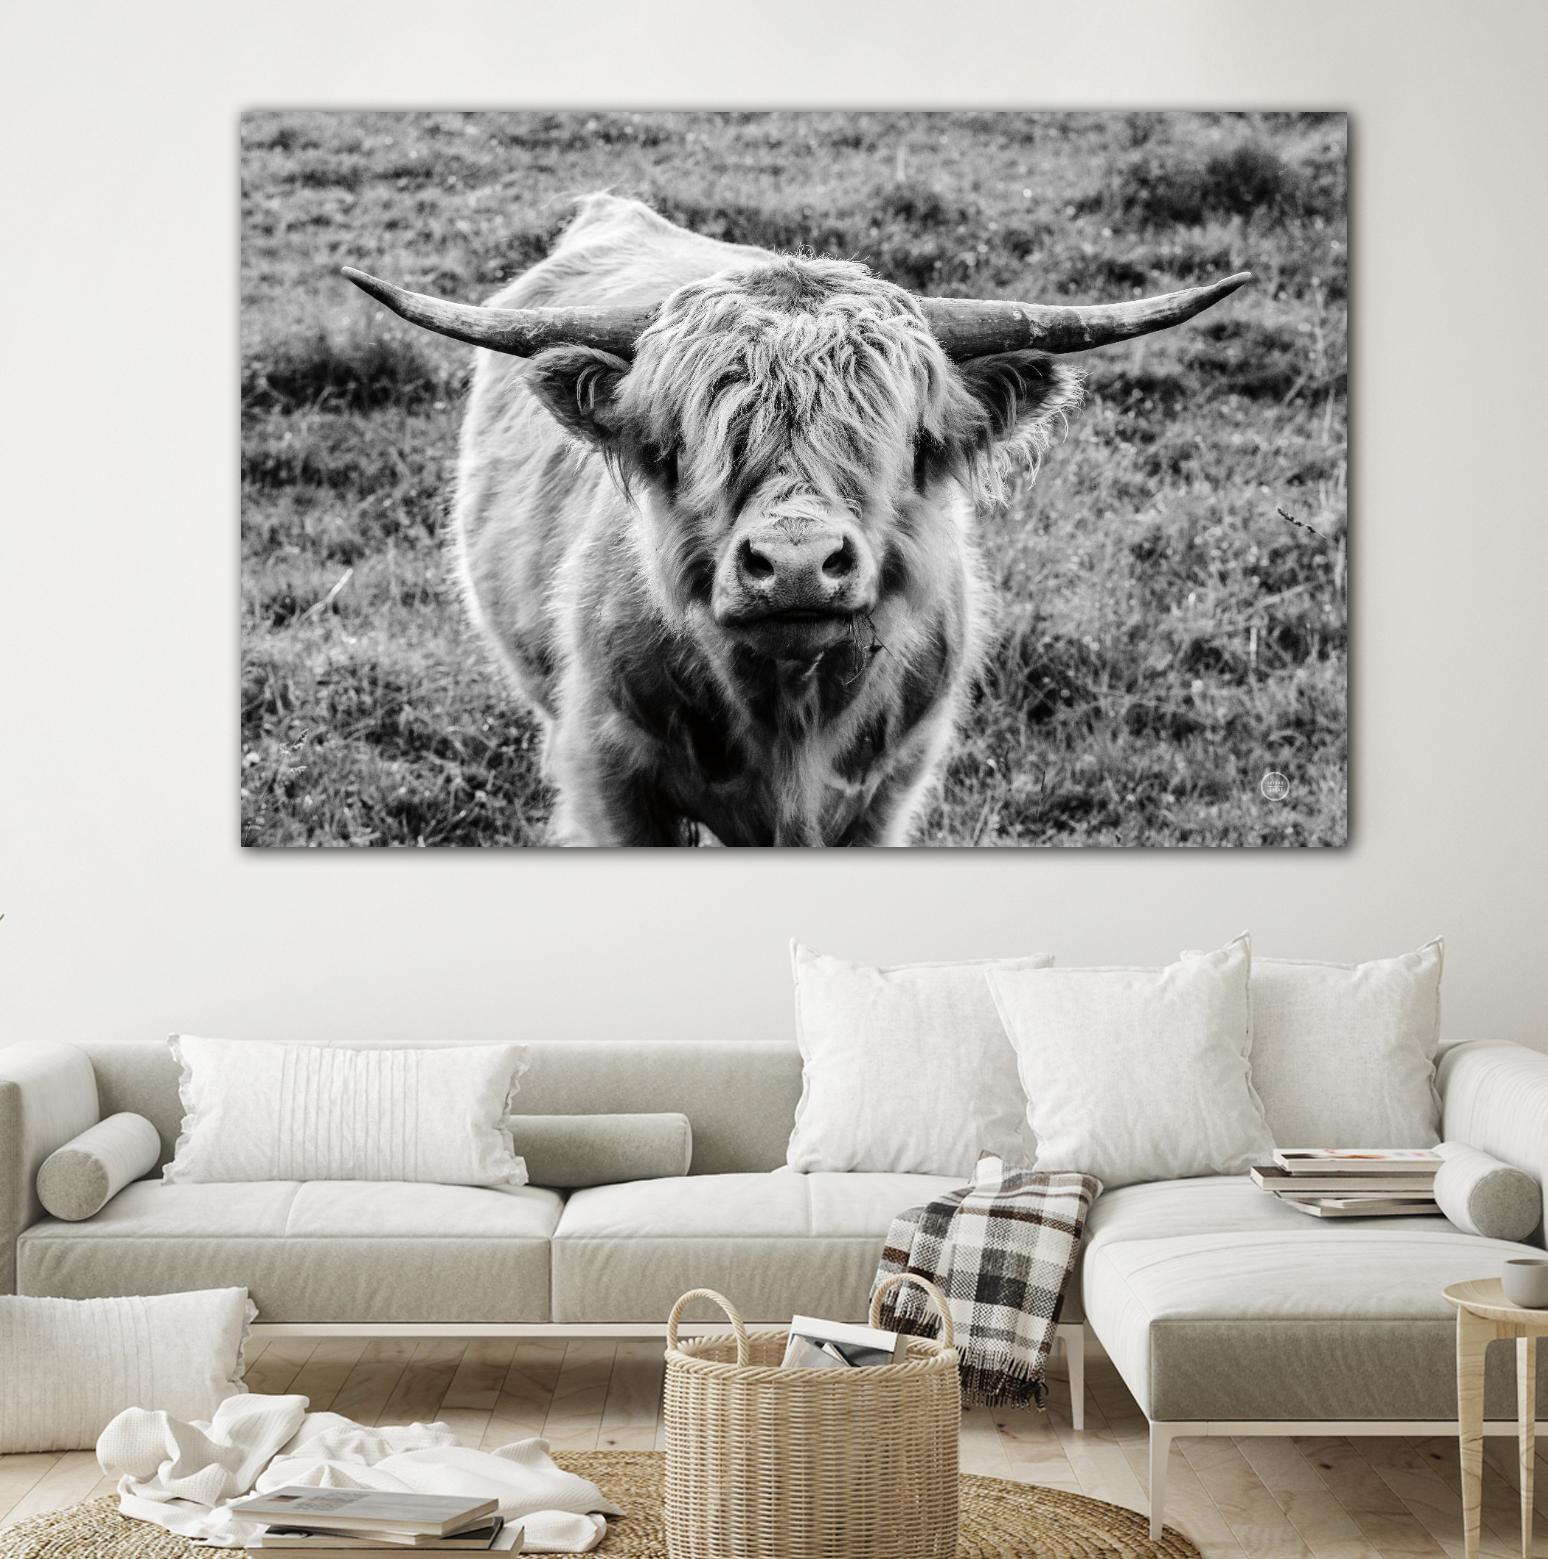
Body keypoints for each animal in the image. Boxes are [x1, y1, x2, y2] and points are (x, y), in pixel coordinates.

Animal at [344, 194, 1247, 846]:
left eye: (909, 440)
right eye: (684, 441)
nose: (797, 563)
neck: (789, 719)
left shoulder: (889, 791)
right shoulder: (609, 775)